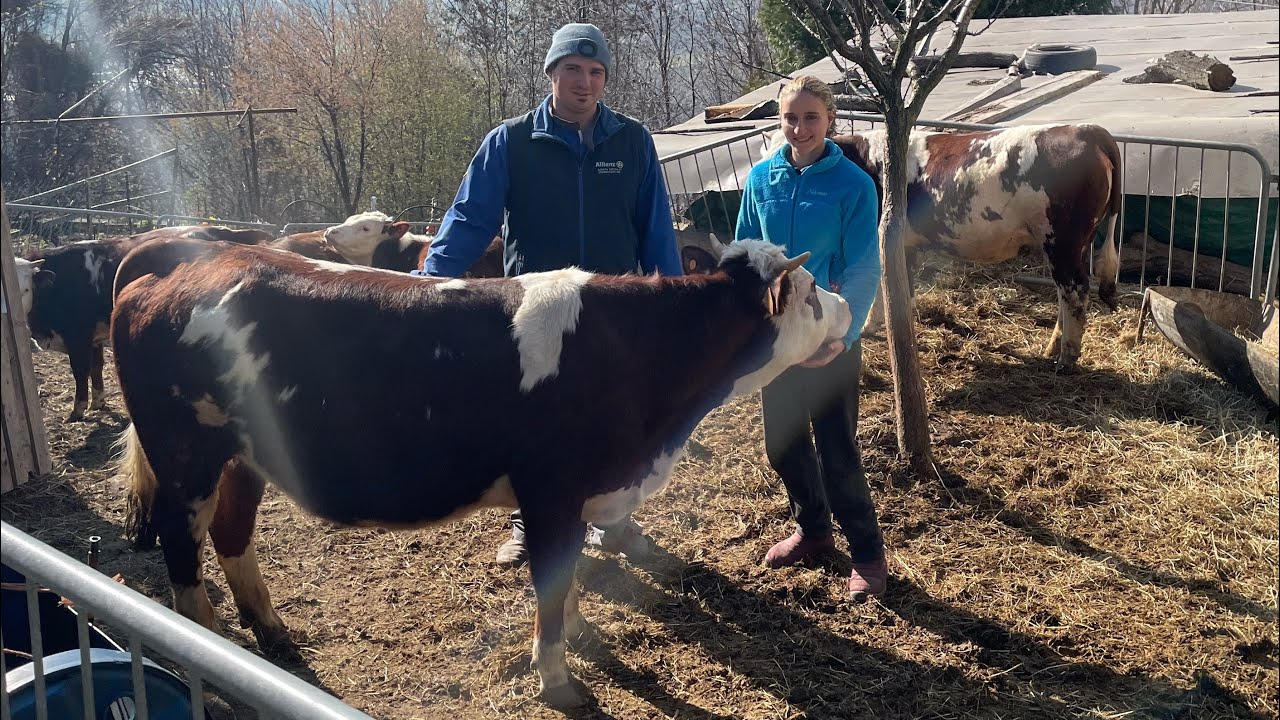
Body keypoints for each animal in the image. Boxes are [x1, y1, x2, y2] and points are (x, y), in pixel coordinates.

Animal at [112, 237, 849, 707]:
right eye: (811, 293)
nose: (846, 306)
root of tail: (173, 270)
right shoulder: (551, 490)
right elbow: (549, 587)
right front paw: (558, 679)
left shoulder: (574, 499)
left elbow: (563, 580)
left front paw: (578, 637)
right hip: (186, 459)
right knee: (183, 560)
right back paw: (207, 655)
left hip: (242, 459)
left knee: (233, 537)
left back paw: (271, 637)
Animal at [834, 122, 1116, 366]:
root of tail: (1083, 129)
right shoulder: (903, 245)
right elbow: (902, 290)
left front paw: (870, 326)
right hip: (1073, 246)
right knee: (1064, 292)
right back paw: (1052, 348)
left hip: (1062, 242)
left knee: (1075, 291)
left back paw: (1067, 357)